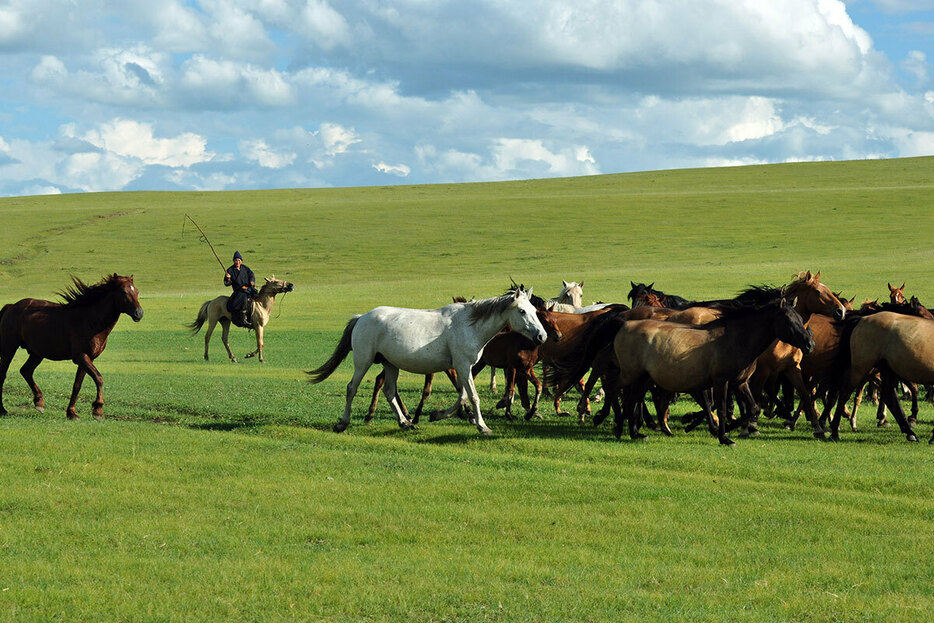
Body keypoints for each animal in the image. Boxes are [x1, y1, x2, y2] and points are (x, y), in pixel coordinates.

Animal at [0, 276, 144, 420]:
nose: (139, 313)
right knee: (4, 374)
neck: (90, 320)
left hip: (37, 353)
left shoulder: (88, 358)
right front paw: (98, 410)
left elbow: (77, 385)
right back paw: (3, 410)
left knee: (26, 371)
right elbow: (99, 378)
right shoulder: (80, 357)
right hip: (9, 348)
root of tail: (11, 306)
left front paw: (71, 412)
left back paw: (39, 402)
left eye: (137, 291)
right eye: (124, 292)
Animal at [308, 288, 548, 434]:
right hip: (363, 361)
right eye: (522, 311)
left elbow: (462, 396)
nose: (541, 336)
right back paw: (343, 423)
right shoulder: (462, 366)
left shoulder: (462, 367)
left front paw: (437, 415)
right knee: (352, 388)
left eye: (534, 310)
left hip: (390, 364)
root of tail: (361, 318)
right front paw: (482, 426)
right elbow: (473, 397)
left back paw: (405, 423)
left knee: (388, 390)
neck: (468, 325)